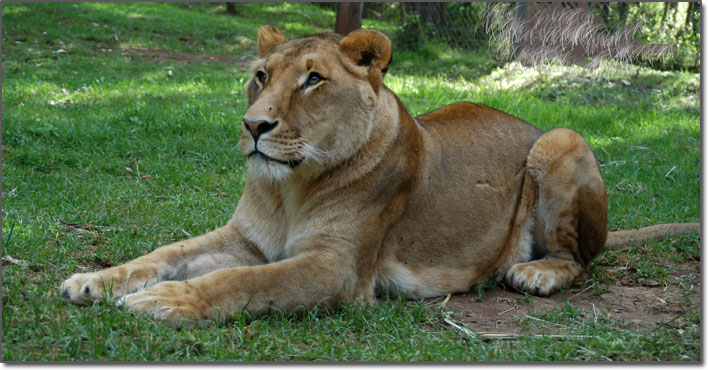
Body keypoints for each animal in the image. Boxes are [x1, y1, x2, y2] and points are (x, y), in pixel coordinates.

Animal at [58, 26, 700, 324]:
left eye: (313, 80)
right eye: (261, 75)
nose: (254, 125)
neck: (291, 188)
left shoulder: (339, 268)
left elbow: (242, 283)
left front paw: (162, 301)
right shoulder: (244, 238)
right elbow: (165, 251)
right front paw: (94, 281)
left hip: (561, 139)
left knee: (580, 257)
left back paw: (535, 272)